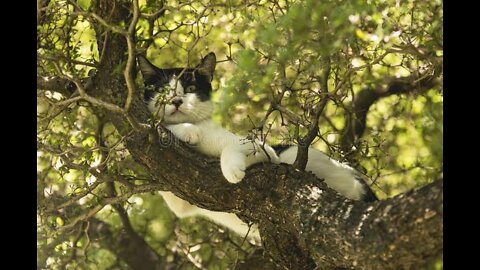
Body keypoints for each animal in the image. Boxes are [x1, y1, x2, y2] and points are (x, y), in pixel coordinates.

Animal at [138, 51, 378, 242]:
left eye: (190, 87)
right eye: (161, 90)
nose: (176, 101)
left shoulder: (265, 150)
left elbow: (232, 148)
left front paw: (232, 170)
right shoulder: (179, 198)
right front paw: (186, 131)